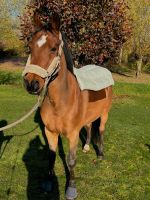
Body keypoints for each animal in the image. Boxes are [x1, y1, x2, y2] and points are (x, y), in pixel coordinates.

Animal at [22, 11, 112, 200]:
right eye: (30, 46)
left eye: (53, 48)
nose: (31, 83)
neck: (61, 101)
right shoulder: (50, 132)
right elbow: (51, 156)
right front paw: (48, 183)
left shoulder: (72, 134)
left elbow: (71, 161)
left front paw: (71, 188)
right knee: (89, 127)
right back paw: (86, 147)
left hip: (105, 114)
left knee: (100, 130)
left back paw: (100, 154)